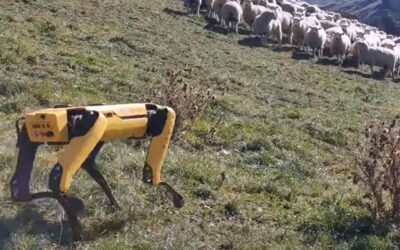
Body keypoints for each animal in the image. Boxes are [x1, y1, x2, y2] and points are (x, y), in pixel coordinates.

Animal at [9, 102, 184, 241]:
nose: (179, 200)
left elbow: (95, 171)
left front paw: (116, 206)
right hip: (91, 129)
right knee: (57, 180)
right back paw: (77, 232)